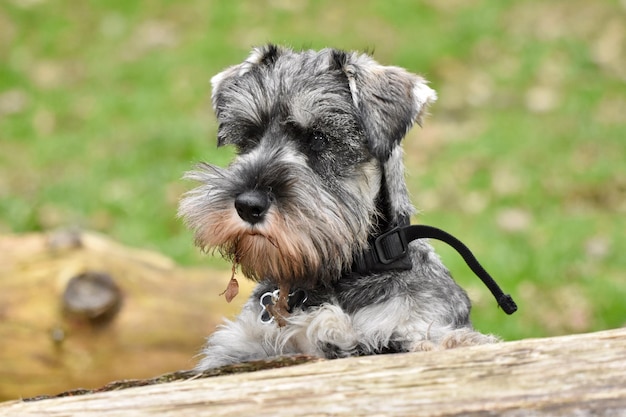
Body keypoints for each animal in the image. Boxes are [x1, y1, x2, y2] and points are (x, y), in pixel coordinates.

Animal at [178, 44, 510, 368]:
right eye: (249, 137)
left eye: (319, 138)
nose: (248, 205)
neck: (337, 273)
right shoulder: (242, 346)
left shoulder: (405, 324)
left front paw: (456, 343)